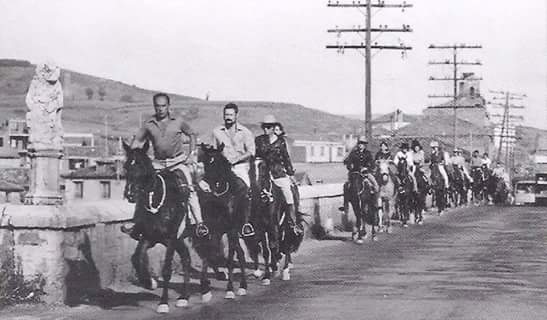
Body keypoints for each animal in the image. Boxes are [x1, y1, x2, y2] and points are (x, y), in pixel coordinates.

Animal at [123, 141, 200, 314]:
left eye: (142, 166)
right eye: (126, 166)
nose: (130, 194)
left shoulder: (170, 238)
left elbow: (166, 270)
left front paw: (163, 303)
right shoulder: (149, 237)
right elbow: (136, 258)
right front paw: (149, 282)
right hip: (179, 239)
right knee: (186, 258)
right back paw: (184, 297)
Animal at [198, 143, 252, 300]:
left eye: (216, 162)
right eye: (205, 161)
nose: (204, 185)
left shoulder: (231, 230)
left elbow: (229, 258)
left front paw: (229, 289)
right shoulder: (213, 229)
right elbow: (209, 253)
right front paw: (205, 290)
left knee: (239, 253)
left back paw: (242, 286)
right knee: (239, 253)